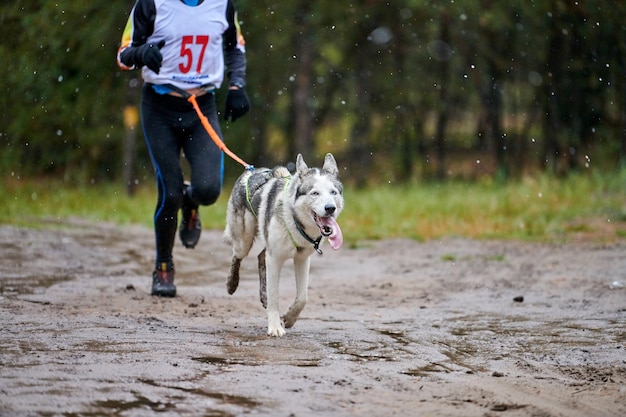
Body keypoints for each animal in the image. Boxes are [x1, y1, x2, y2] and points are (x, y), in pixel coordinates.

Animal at [223, 152, 344, 334]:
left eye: (333, 192)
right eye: (315, 193)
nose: (330, 208)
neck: (294, 221)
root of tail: (250, 171)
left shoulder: (302, 259)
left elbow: (302, 298)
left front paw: (288, 319)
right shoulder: (275, 259)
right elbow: (275, 297)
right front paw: (275, 328)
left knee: (260, 257)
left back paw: (263, 296)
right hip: (244, 242)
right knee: (237, 256)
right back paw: (232, 284)